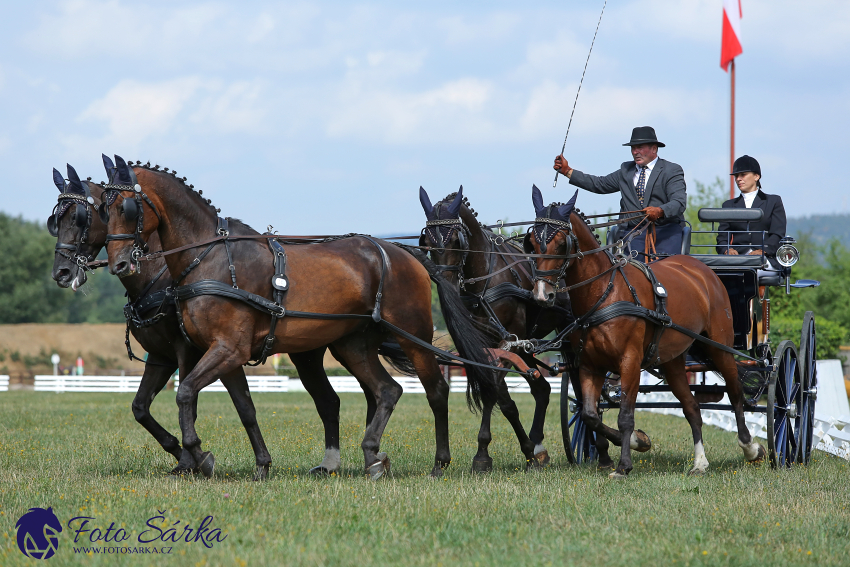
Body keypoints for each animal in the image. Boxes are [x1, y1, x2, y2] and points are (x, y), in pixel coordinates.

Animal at [48, 160, 272, 480]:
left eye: (79, 219)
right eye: (54, 220)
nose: (61, 273)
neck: (158, 278)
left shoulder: (187, 351)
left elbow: (188, 403)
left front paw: (196, 460)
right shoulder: (159, 356)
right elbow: (141, 408)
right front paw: (180, 454)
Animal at [101, 158, 496, 482]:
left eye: (127, 207)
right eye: (103, 210)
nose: (118, 263)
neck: (209, 257)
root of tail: (405, 252)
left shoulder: (227, 349)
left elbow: (185, 393)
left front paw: (200, 455)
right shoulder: (222, 353)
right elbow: (243, 406)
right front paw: (257, 463)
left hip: (413, 336)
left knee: (436, 391)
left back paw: (440, 462)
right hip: (353, 345)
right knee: (387, 391)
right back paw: (372, 456)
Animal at [416, 186, 572, 470]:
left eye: (457, 240)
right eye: (427, 242)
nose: (446, 286)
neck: (485, 280)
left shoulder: (506, 342)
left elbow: (493, 392)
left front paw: (482, 455)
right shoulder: (487, 345)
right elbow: (500, 394)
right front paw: (524, 450)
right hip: (525, 347)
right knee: (542, 390)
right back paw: (539, 447)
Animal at [524, 186, 760, 480]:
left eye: (560, 244)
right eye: (532, 243)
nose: (542, 295)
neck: (604, 293)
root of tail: (702, 269)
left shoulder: (630, 362)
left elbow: (625, 415)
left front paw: (624, 464)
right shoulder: (589, 365)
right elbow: (590, 414)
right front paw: (638, 441)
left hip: (719, 347)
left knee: (736, 393)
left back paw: (750, 447)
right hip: (673, 360)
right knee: (692, 408)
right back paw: (700, 462)